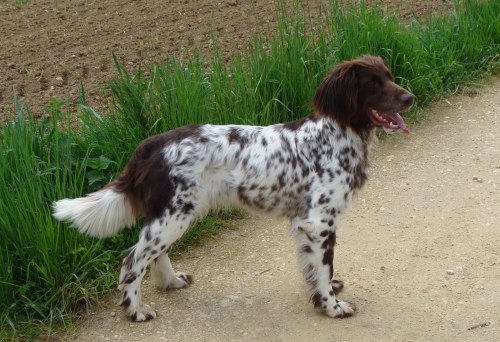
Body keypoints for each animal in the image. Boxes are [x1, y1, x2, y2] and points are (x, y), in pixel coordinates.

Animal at [53, 54, 414, 322]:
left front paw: (326, 294)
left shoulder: (307, 222)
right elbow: (323, 267)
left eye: (389, 76)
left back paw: (172, 282)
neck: (337, 134)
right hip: (174, 216)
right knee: (133, 260)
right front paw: (332, 306)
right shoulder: (319, 221)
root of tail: (152, 144)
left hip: (176, 213)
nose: (409, 97)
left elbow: (314, 268)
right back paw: (136, 309)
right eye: (372, 83)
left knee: (155, 254)